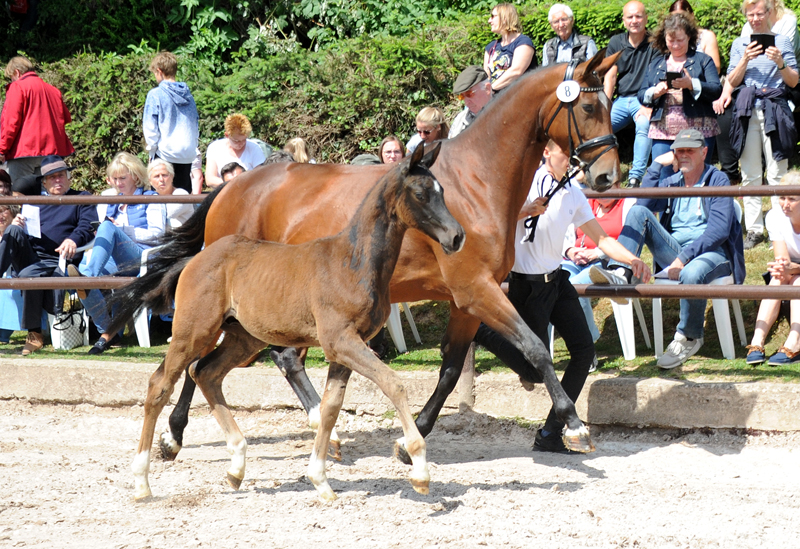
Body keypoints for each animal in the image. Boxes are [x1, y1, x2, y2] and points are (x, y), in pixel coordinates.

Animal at [109, 50, 620, 462]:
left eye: (610, 104)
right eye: (588, 106)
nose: (608, 176)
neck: (476, 181)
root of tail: (232, 187)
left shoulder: (465, 301)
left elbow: (451, 369)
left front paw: (412, 439)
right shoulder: (476, 289)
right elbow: (535, 348)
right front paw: (574, 425)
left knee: (260, 359)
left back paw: (312, 429)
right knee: (205, 359)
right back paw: (175, 437)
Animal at [129, 142, 466, 500]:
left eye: (442, 191)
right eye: (420, 193)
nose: (457, 236)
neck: (353, 263)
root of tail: (194, 259)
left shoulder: (344, 348)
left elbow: (331, 407)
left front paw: (320, 479)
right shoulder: (341, 341)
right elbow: (393, 384)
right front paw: (419, 468)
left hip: (244, 337)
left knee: (206, 373)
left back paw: (236, 467)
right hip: (194, 331)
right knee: (160, 384)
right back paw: (143, 479)